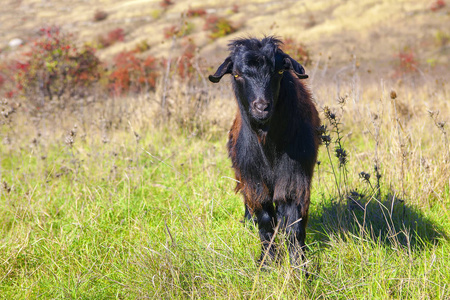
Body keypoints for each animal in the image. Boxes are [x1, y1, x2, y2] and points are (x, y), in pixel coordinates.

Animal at [208, 37, 320, 268]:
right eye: (237, 74)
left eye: (279, 71)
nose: (261, 107)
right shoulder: (254, 179)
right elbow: (265, 221)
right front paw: (267, 262)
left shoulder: (294, 176)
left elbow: (293, 223)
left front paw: (299, 266)